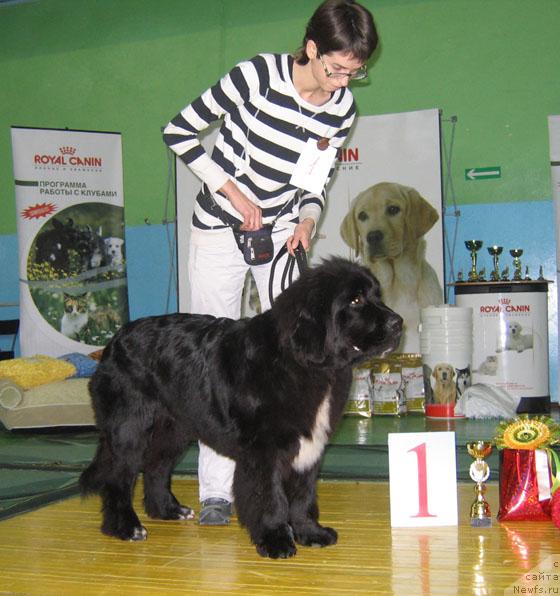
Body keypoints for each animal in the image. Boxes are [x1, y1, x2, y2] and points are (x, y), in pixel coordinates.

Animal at [80, 258, 402, 560]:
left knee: (156, 467)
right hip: (130, 428)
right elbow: (270, 497)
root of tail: (113, 342)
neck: (304, 362)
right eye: (355, 301)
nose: (398, 323)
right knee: (119, 479)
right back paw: (126, 527)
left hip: (174, 429)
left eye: (377, 295)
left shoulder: (309, 447)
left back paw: (168, 510)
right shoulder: (264, 451)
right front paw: (276, 541)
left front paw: (311, 533)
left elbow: (303, 496)